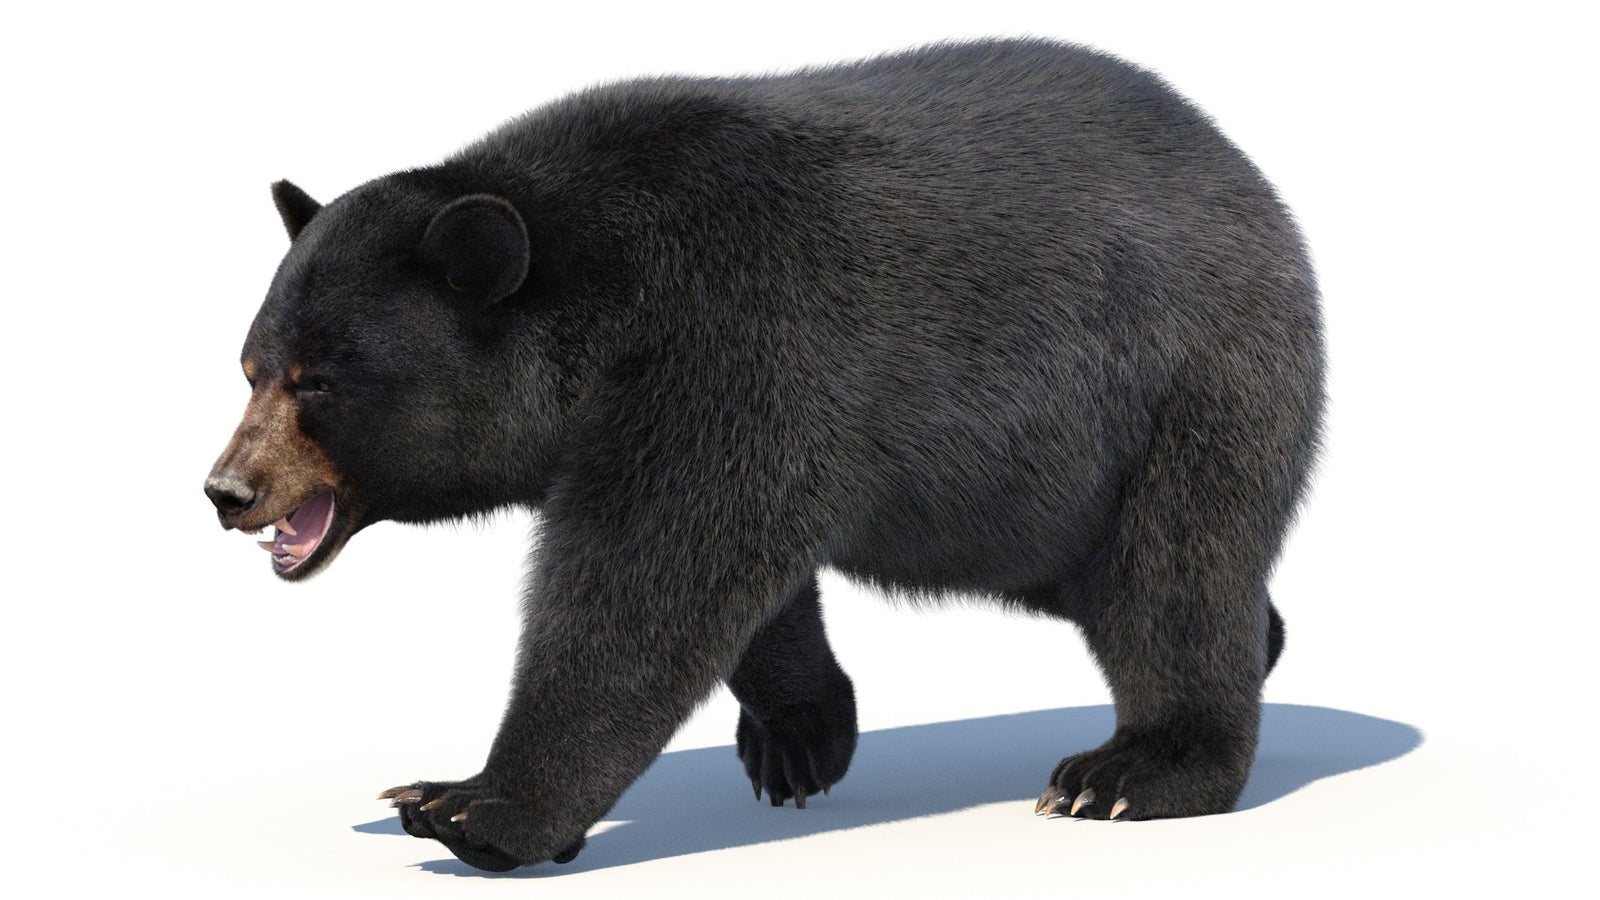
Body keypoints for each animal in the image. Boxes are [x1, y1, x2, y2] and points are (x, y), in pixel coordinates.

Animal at [204, 38, 1323, 871]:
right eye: (249, 366)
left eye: (318, 382)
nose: (227, 490)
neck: (600, 294)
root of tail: (1250, 179)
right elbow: (742, 573)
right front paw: (800, 736)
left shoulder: (736, 335)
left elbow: (652, 575)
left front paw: (469, 804)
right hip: (1033, 502)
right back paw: (1260, 644)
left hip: (1182, 387)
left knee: (1174, 571)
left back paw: (1132, 772)